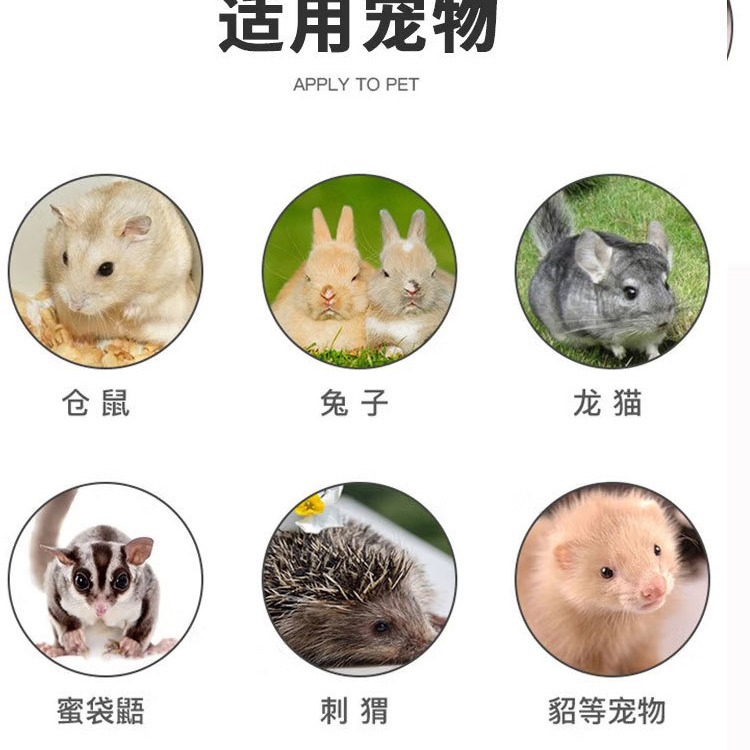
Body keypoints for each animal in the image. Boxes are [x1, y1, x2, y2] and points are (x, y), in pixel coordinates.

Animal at [30, 489, 175, 659]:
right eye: (81, 581)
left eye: (122, 581)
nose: (100, 608)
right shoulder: (56, 579)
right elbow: (56, 607)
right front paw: (72, 635)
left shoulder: (147, 583)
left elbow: (149, 612)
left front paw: (132, 643)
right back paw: (56, 649)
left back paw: (156, 648)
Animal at [44, 179, 198, 345]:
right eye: (65, 257)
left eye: (106, 269)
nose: (74, 306)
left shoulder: (167, 278)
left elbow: (148, 298)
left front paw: (126, 315)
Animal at [528, 191, 675, 361]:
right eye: (630, 292)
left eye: (666, 285)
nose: (664, 322)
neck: (632, 331)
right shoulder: (586, 326)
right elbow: (608, 342)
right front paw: (621, 354)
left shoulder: (653, 337)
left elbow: (651, 347)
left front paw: (654, 355)